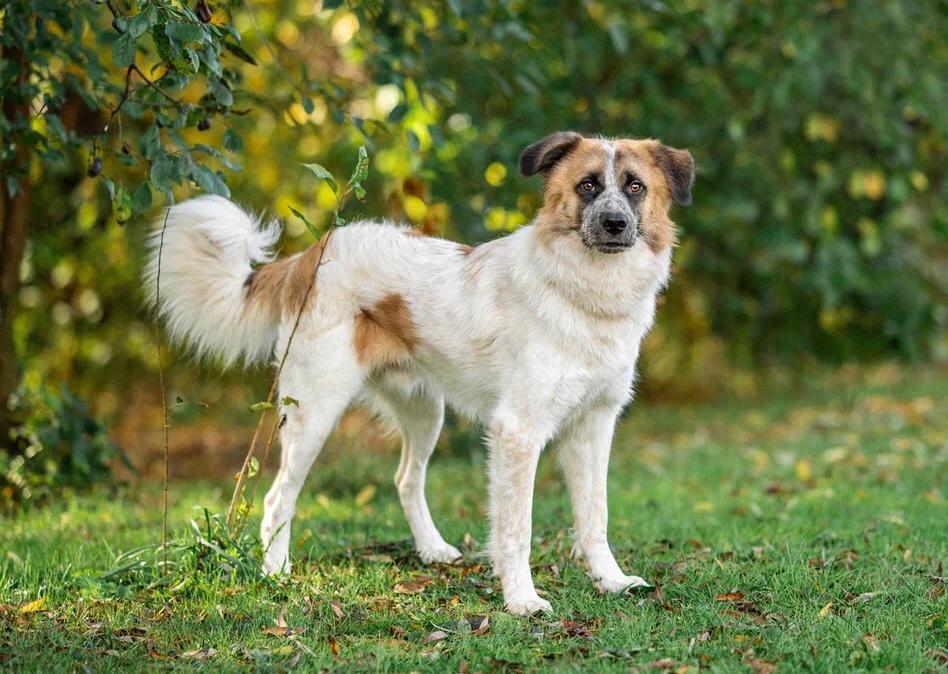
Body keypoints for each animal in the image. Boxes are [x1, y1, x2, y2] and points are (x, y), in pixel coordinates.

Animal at [145, 132, 694, 615]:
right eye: (587, 186)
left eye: (634, 187)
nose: (615, 223)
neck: (584, 293)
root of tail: (313, 253)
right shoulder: (518, 432)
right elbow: (516, 529)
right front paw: (521, 600)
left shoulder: (593, 427)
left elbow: (595, 517)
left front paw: (611, 581)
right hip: (314, 412)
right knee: (280, 497)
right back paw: (276, 572)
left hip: (425, 411)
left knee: (406, 478)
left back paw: (432, 551)